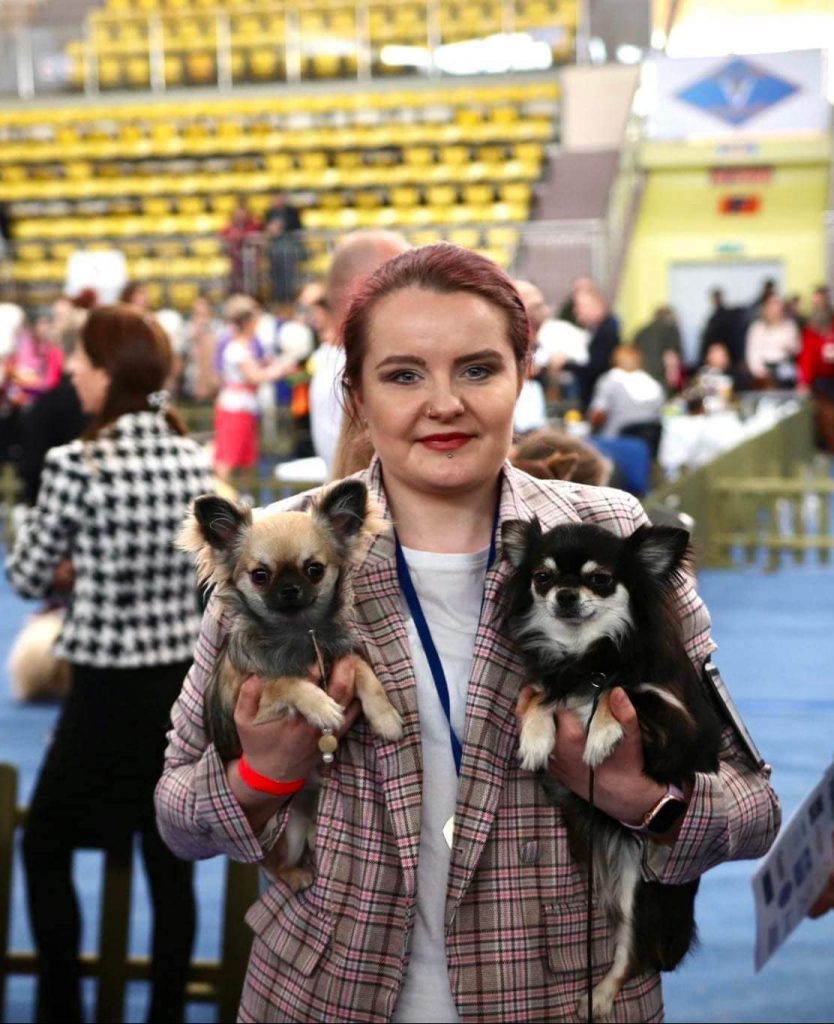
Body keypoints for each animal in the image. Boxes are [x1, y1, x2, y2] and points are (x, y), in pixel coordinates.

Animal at [178, 478, 402, 888]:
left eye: (314, 569)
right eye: (260, 575)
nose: (289, 588)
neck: (297, 633)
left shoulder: (338, 659)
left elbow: (361, 669)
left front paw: (386, 717)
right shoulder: (257, 703)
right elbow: (285, 683)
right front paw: (321, 706)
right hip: (287, 832)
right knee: (274, 865)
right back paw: (298, 876)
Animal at [501, 519, 722, 1019]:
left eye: (600, 579)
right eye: (542, 577)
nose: (564, 594)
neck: (588, 656)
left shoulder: (683, 731)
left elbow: (627, 694)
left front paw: (601, 731)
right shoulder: (555, 678)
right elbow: (541, 692)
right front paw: (536, 737)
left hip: (640, 889)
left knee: (631, 954)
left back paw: (599, 996)